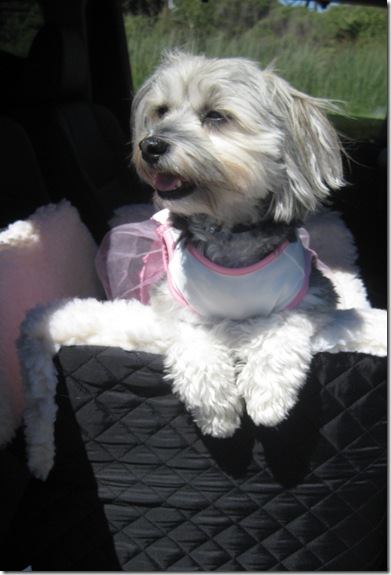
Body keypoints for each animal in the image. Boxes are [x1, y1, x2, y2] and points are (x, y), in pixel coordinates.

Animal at [121, 50, 344, 436]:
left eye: (215, 116)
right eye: (162, 111)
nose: (149, 145)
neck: (230, 231)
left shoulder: (310, 296)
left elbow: (281, 333)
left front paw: (268, 399)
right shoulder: (175, 303)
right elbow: (195, 345)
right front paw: (216, 410)